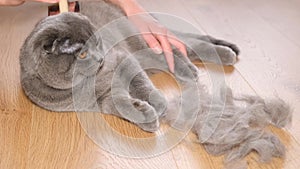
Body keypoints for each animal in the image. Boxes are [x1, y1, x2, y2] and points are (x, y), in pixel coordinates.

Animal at [18, 0, 290, 166]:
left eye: (98, 43)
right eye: (83, 53)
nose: (101, 57)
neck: (87, 83)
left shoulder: (124, 59)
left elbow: (141, 85)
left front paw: (157, 104)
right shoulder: (100, 102)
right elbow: (121, 106)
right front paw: (145, 116)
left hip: (143, 42)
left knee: (179, 47)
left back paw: (209, 60)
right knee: (186, 46)